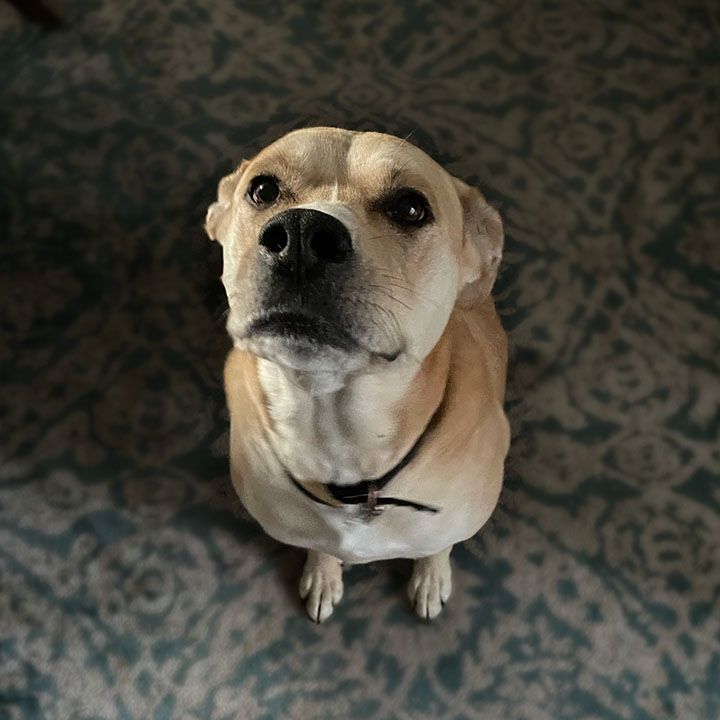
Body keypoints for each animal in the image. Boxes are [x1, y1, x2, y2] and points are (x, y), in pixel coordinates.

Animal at [205, 126, 510, 620]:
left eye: (410, 207)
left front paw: (431, 579)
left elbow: (437, 548)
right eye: (263, 189)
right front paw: (323, 574)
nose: (301, 233)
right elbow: (319, 547)